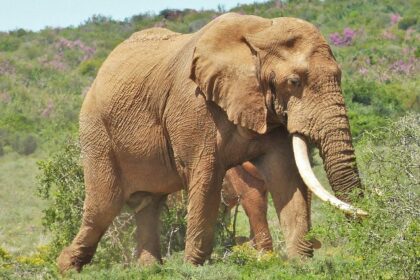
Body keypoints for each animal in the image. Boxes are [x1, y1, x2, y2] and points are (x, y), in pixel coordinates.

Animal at [57, 12, 366, 272]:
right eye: (294, 82)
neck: (259, 32)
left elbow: (286, 176)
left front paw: (301, 264)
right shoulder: (193, 108)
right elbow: (205, 178)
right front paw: (193, 268)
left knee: (148, 204)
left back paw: (150, 270)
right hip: (97, 132)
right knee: (104, 206)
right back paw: (66, 267)